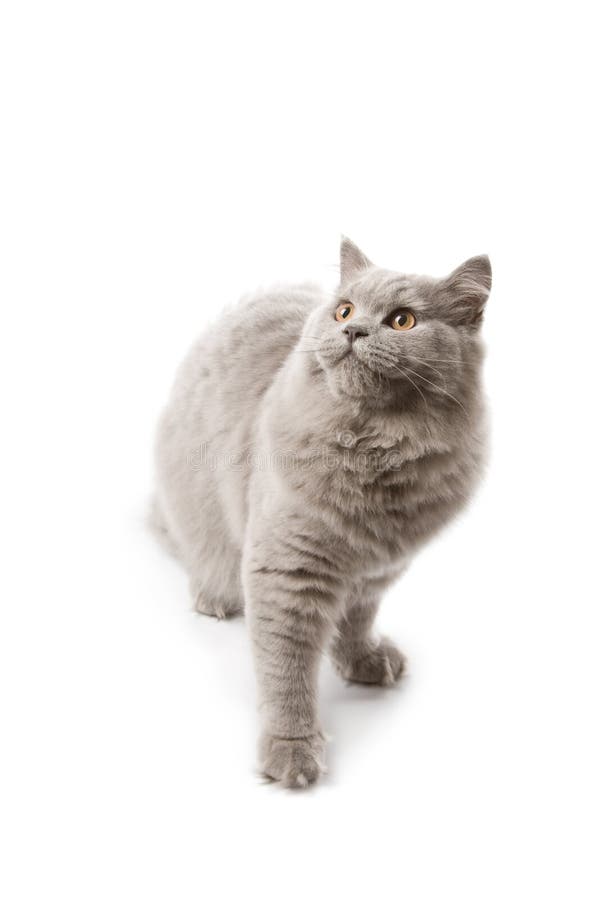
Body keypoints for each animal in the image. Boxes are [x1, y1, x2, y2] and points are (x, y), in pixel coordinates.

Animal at [152, 237, 490, 788]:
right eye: (344, 311)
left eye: (402, 321)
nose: (353, 330)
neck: (376, 454)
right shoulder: (287, 569)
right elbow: (286, 671)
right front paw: (292, 752)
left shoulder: (377, 570)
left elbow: (355, 621)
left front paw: (364, 661)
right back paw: (215, 597)